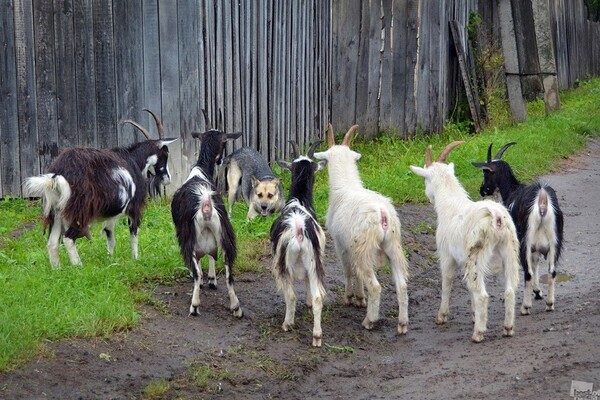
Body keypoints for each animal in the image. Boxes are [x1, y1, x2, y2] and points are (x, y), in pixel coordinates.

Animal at [25, 108, 176, 268]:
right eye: (165, 153)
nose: (168, 179)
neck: (135, 160)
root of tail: (59, 173)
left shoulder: (111, 213)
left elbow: (110, 236)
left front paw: (110, 259)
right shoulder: (134, 206)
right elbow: (133, 232)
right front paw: (135, 259)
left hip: (56, 210)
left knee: (52, 243)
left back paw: (57, 270)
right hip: (79, 211)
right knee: (68, 238)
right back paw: (78, 266)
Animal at [170, 116, 243, 318]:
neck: (200, 170)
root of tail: (206, 203)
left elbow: (205, 261)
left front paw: (209, 279)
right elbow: (212, 255)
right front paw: (212, 279)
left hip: (188, 238)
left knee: (197, 272)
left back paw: (194, 306)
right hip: (226, 235)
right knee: (229, 273)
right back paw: (236, 308)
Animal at [270, 141, 328, 346]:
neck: (299, 201)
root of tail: (299, 230)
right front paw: (309, 302)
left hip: (284, 264)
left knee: (291, 295)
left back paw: (287, 324)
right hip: (314, 261)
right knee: (319, 297)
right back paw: (317, 335)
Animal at [472, 142, 564, 314]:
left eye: (485, 173)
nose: (482, 190)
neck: (512, 191)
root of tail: (542, 200)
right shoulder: (535, 248)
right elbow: (535, 263)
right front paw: (538, 291)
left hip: (525, 241)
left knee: (527, 273)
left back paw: (525, 307)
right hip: (555, 241)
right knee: (552, 271)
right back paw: (549, 303)